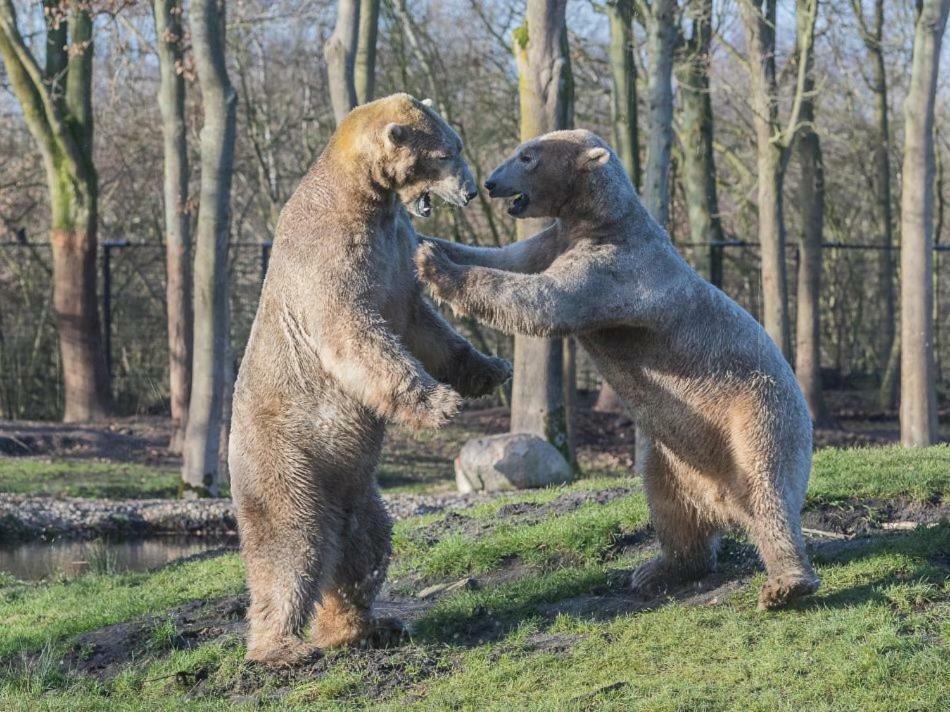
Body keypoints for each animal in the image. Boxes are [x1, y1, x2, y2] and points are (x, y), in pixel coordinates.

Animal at [231, 94, 512, 668]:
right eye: (447, 152)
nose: (472, 190)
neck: (359, 197)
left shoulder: (395, 248)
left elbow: (420, 322)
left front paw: (489, 369)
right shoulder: (331, 254)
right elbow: (356, 333)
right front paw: (440, 404)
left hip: (354, 488)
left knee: (363, 545)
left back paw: (362, 626)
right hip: (287, 459)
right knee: (291, 543)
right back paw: (280, 647)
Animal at [416, 129, 820, 612]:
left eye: (527, 156)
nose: (492, 183)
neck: (605, 219)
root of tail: (725, 501)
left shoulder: (614, 269)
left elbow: (540, 298)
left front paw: (434, 266)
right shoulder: (557, 240)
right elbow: (508, 258)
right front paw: (426, 240)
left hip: (757, 410)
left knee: (767, 486)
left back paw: (786, 584)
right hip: (673, 456)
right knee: (668, 500)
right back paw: (659, 569)